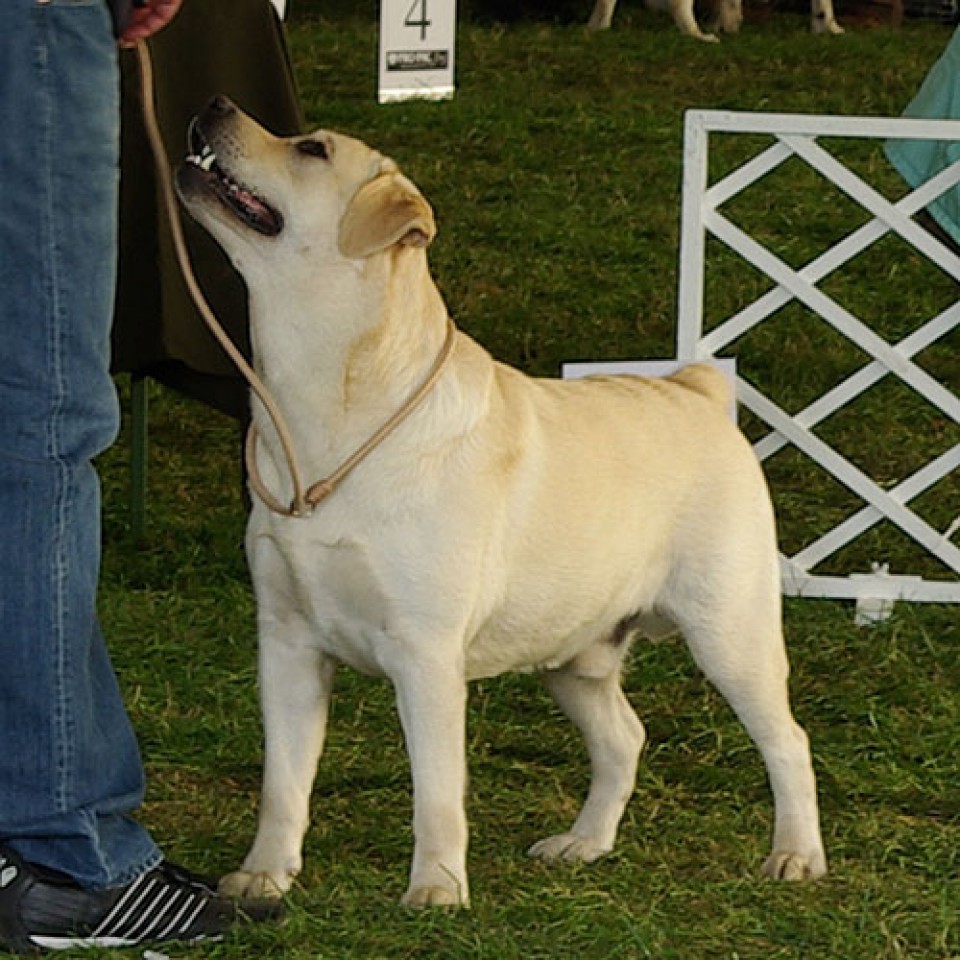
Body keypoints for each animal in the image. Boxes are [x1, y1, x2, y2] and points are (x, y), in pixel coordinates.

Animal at [176, 95, 828, 908]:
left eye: (312, 150)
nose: (213, 104)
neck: (321, 414)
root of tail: (698, 391)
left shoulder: (425, 653)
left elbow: (436, 789)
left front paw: (436, 889)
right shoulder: (288, 644)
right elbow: (284, 781)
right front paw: (265, 875)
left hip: (731, 631)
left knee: (788, 741)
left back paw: (797, 855)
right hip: (574, 652)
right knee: (624, 738)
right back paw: (584, 844)